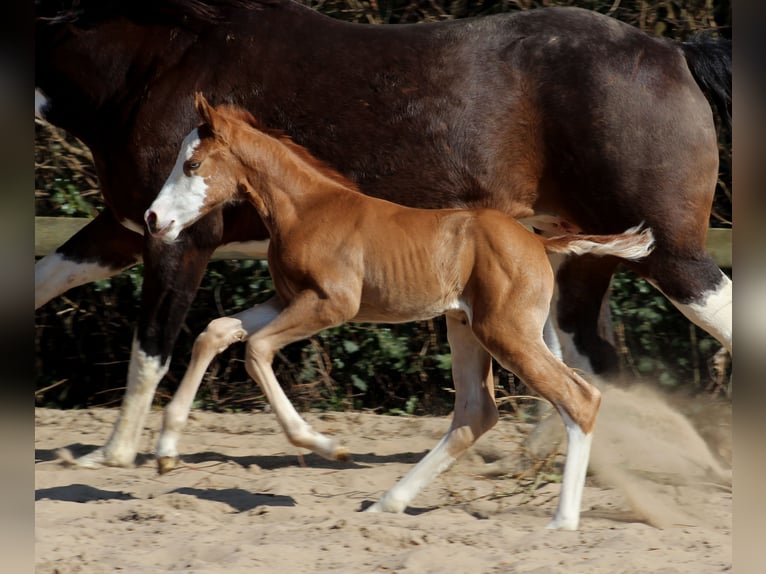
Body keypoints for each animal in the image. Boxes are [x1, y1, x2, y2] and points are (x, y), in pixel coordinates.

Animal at [34, 0, 732, 470]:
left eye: (194, 165)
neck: (152, 68)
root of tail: (675, 53)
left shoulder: (179, 238)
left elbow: (152, 342)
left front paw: (113, 454)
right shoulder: (129, 226)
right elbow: (48, 280)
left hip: (672, 255)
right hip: (580, 257)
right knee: (589, 358)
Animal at [146, 95, 660, 532]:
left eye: (192, 165)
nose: (153, 219)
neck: (306, 209)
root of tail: (540, 242)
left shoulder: (332, 303)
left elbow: (255, 350)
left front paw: (329, 446)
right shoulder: (287, 298)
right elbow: (215, 332)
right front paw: (166, 452)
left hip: (507, 332)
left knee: (578, 397)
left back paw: (562, 521)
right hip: (466, 328)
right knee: (476, 413)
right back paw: (386, 504)